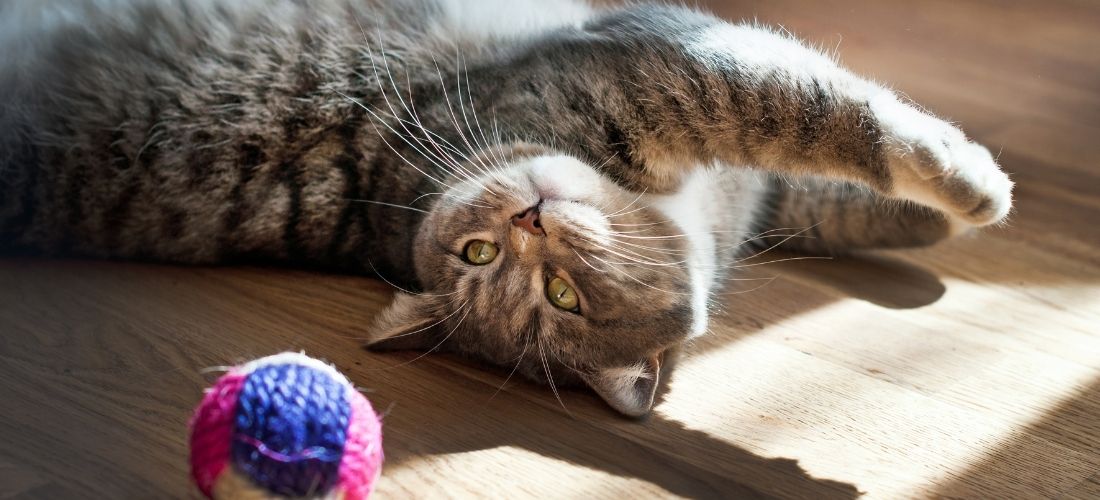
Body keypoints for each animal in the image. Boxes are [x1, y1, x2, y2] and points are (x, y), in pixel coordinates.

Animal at [0, 0, 1012, 417]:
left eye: (562, 296)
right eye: (484, 260)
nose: (529, 222)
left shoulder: (744, 183)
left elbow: (822, 194)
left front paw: (927, 222)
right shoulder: (660, 62)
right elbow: (816, 108)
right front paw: (968, 182)